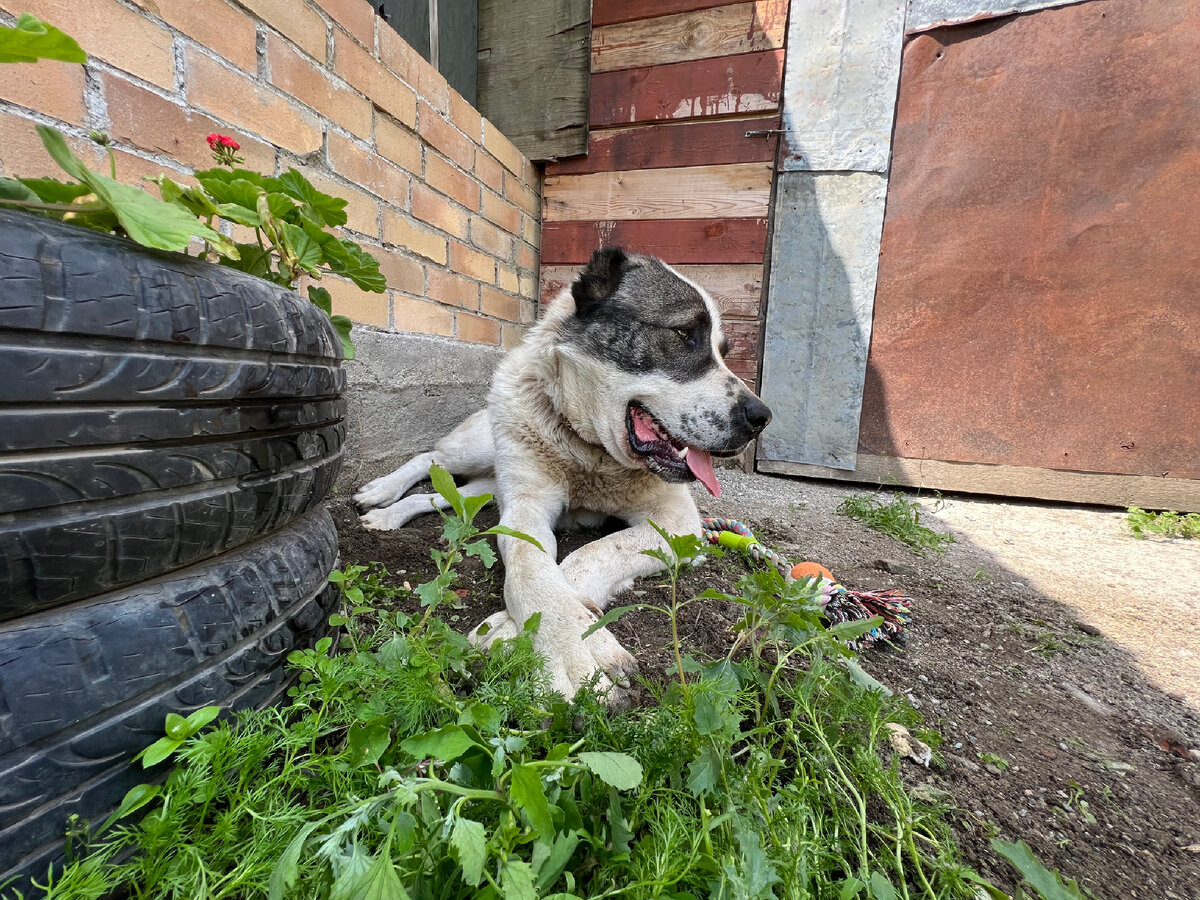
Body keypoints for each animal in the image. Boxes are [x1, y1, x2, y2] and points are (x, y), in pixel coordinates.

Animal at [350, 247, 772, 705]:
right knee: (432, 457)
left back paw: (388, 514)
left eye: (723, 351)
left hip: (491, 483)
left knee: (451, 495)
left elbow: (589, 554)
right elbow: (532, 565)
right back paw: (380, 491)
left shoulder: (679, 525)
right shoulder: (526, 509)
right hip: (481, 445)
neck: (588, 454)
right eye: (683, 334)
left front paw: (510, 627)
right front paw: (568, 645)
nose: (761, 418)